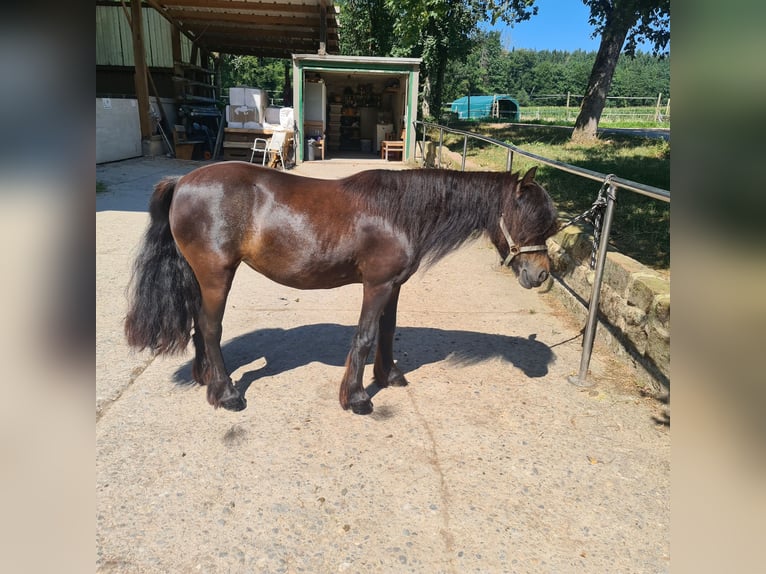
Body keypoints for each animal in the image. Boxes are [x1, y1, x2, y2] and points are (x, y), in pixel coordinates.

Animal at [124, 162, 560, 414]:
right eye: (531, 221)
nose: (541, 276)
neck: (399, 212)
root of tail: (182, 181)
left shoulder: (393, 286)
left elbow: (387, 330)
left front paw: (389, 376)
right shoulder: (376, 285)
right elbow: (364, 337)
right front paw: (357, 397)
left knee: (198, 325)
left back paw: (206, 379)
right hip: (218, 275)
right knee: (211, 327)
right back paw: (225, 393)